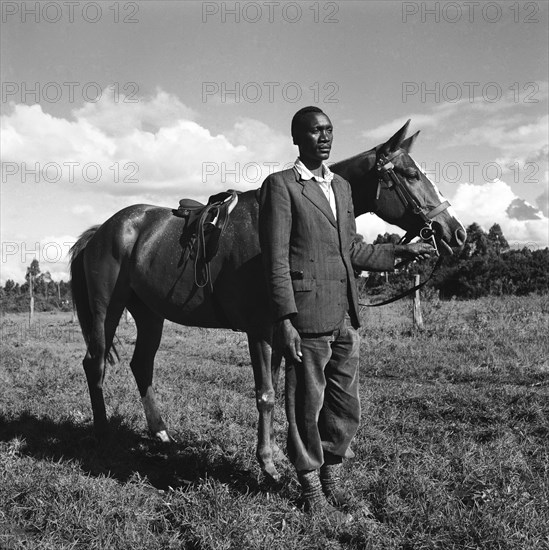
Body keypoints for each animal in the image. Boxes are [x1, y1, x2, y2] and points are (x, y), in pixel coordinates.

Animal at [68, 122, 462, 484]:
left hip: (150, 313)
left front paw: (276, 458)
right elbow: (266, 395)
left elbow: (278, 392)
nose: (455, 231)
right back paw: (103, 434)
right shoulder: (259, 330)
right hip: (107, 310)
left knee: (141, 366)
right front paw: (269, 465)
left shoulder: (280, 332)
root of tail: (103, 231)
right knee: (95, 363)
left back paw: (162, 434)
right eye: (411, 175)